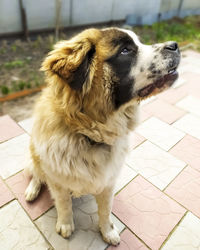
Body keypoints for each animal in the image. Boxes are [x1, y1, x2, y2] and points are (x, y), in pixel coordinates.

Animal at [24, 27, 180, 244]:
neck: (89, 135)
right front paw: (65, 225)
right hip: (35, 156)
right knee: (37, 174)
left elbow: (105, 210)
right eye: (125, 50)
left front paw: (107, 231)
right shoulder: (57, 182)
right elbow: (64, 205)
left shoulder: (107, 183)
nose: (175, 45)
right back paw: (32, 190)